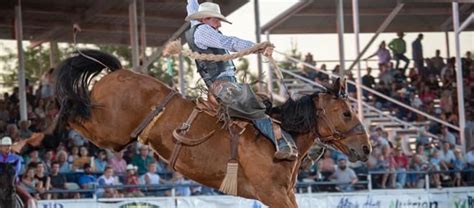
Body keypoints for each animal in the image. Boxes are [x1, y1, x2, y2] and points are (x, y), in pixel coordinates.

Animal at [52, 49, 370, 207]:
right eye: (346, 113)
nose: (366, 148)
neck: (279, 136)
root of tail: (117, 72)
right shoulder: (272, 193)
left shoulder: (284, 193)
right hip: (109, 131)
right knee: (71, 111)